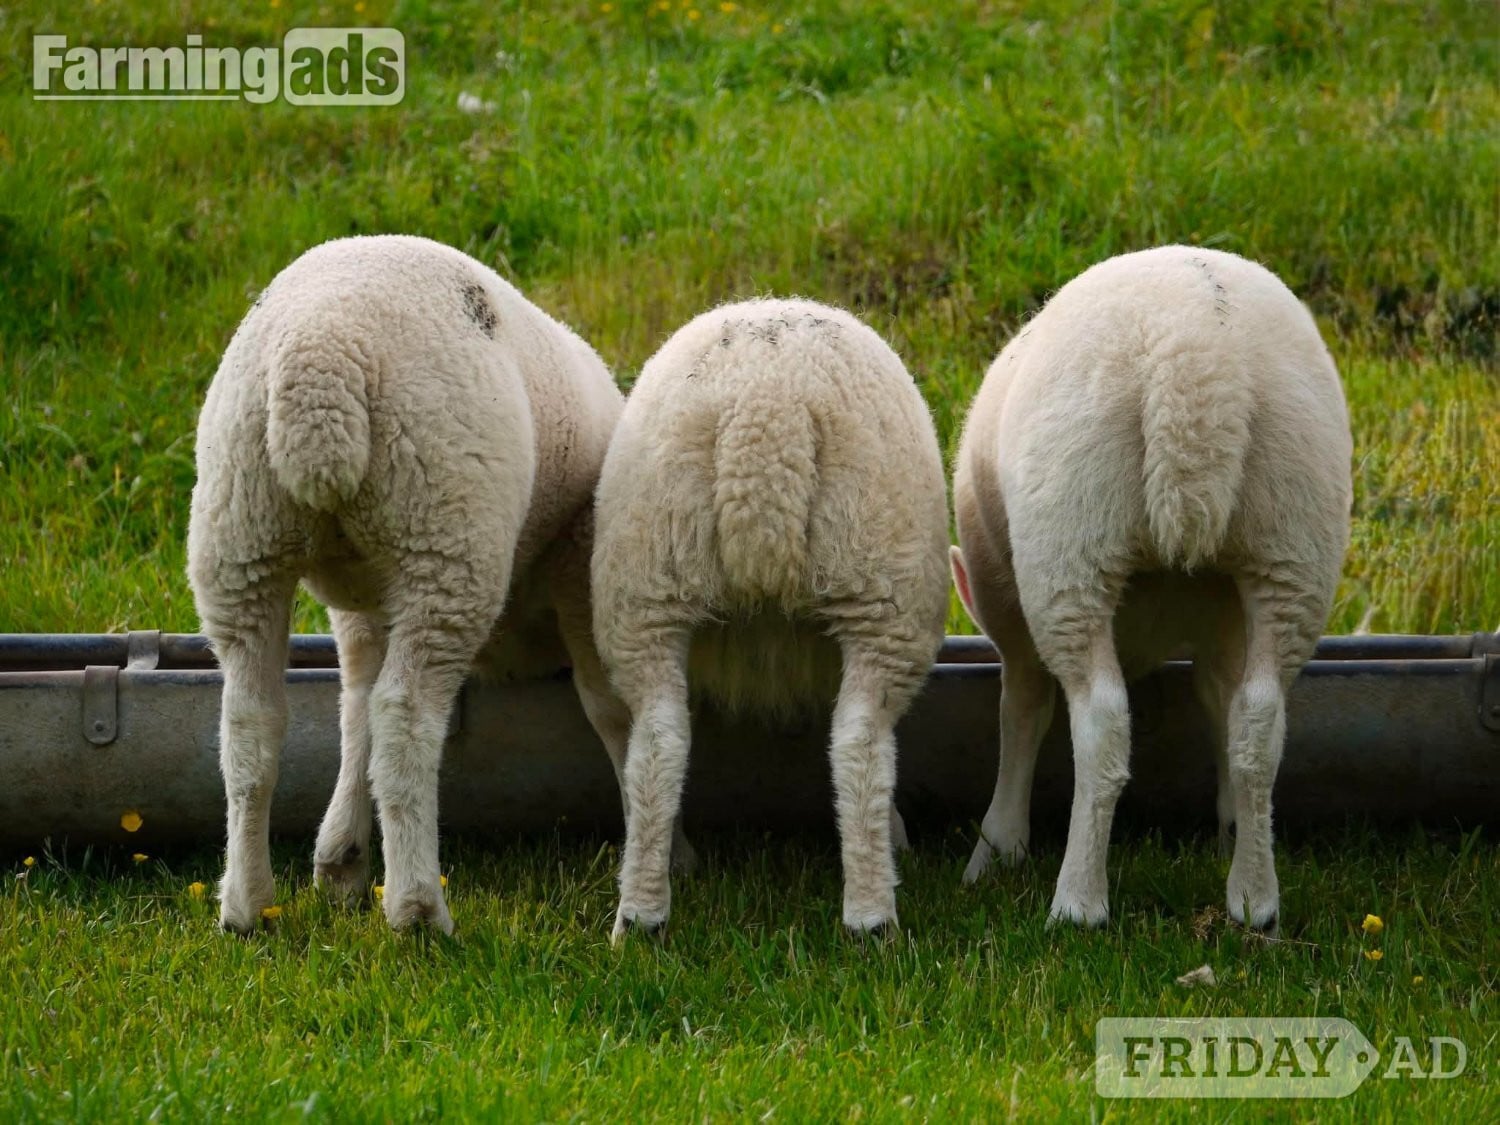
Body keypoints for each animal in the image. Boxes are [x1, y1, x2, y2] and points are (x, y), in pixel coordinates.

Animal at [187, 233, 651, 934]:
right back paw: (417, 911)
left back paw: (246, 905)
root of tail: (319, 362)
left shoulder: (362, 604)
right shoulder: (578, 557)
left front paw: (340, 861)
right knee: (404, 718)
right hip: (444, 532)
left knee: (251, 723)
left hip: (240, 532)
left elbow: (353, 703)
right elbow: (607, 704)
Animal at [593, 298, 950, 939]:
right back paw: (871, 918)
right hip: (880, 586)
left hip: (648, 588)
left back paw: (640, 917)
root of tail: (763, 410)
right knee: (860, 743)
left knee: (658, 743)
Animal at [950, 246, 1352, 931]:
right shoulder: (1223, 622)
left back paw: (1078, 902)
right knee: (1260, 720)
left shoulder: (1011, 615)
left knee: (1102, 721)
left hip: (1071, 544)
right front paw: (1230, 826)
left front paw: (997, 849)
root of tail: (1197, 357)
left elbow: (1022, 710)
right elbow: (1220, 698)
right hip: (1293, 543)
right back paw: (1253, 897)